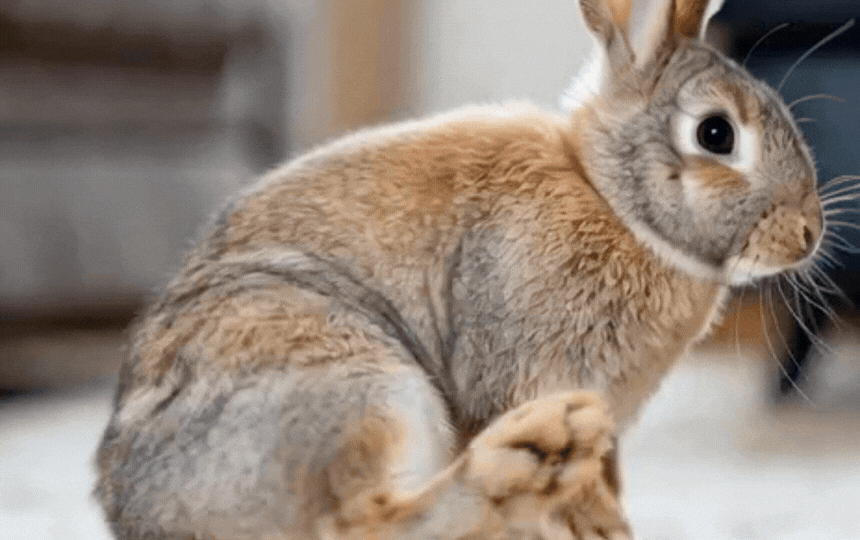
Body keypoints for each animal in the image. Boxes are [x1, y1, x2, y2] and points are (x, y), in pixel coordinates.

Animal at [95, 0, 825, 538]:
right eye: (715, 134)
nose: (809, 235)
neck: (609, 199)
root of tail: (140, 508)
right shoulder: (528, 367)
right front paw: (591, 522)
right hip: (361, 381)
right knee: (360, 523)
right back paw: (527, 457)